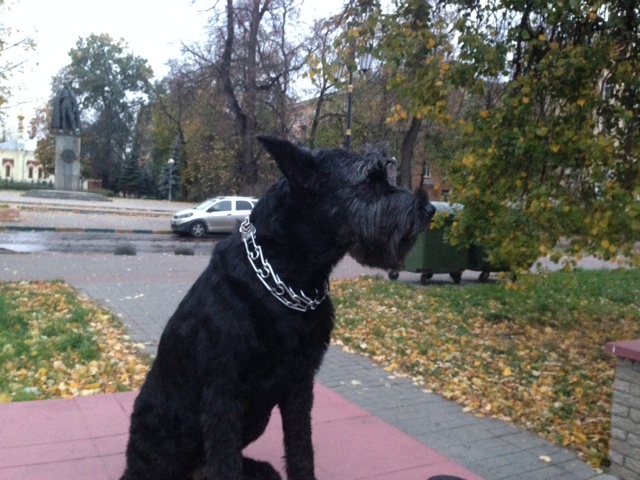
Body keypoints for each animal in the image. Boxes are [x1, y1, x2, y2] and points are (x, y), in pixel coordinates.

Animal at [120, 137, 435, 480]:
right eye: (369, 180)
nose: (430, 209)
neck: (292, 281)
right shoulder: (224, 393)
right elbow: (225, 463)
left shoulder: (300, 383)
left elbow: (301, 448)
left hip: (256, 418)